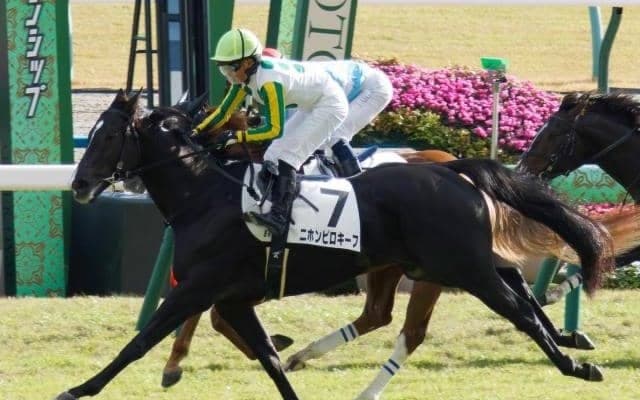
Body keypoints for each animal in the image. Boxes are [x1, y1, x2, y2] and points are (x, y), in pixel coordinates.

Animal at [58, 89, 635, 400]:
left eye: (107, 136)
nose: (80, 185)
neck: (206, 195)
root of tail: (451, 169)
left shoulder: (199, 287)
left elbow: (140, 342)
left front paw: (79, 388)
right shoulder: (234, 297)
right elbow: (267, 357)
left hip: (462, 267)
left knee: (514, 308)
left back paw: (574, 363)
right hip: (440, 264)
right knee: (506, 288)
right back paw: (568, 339)